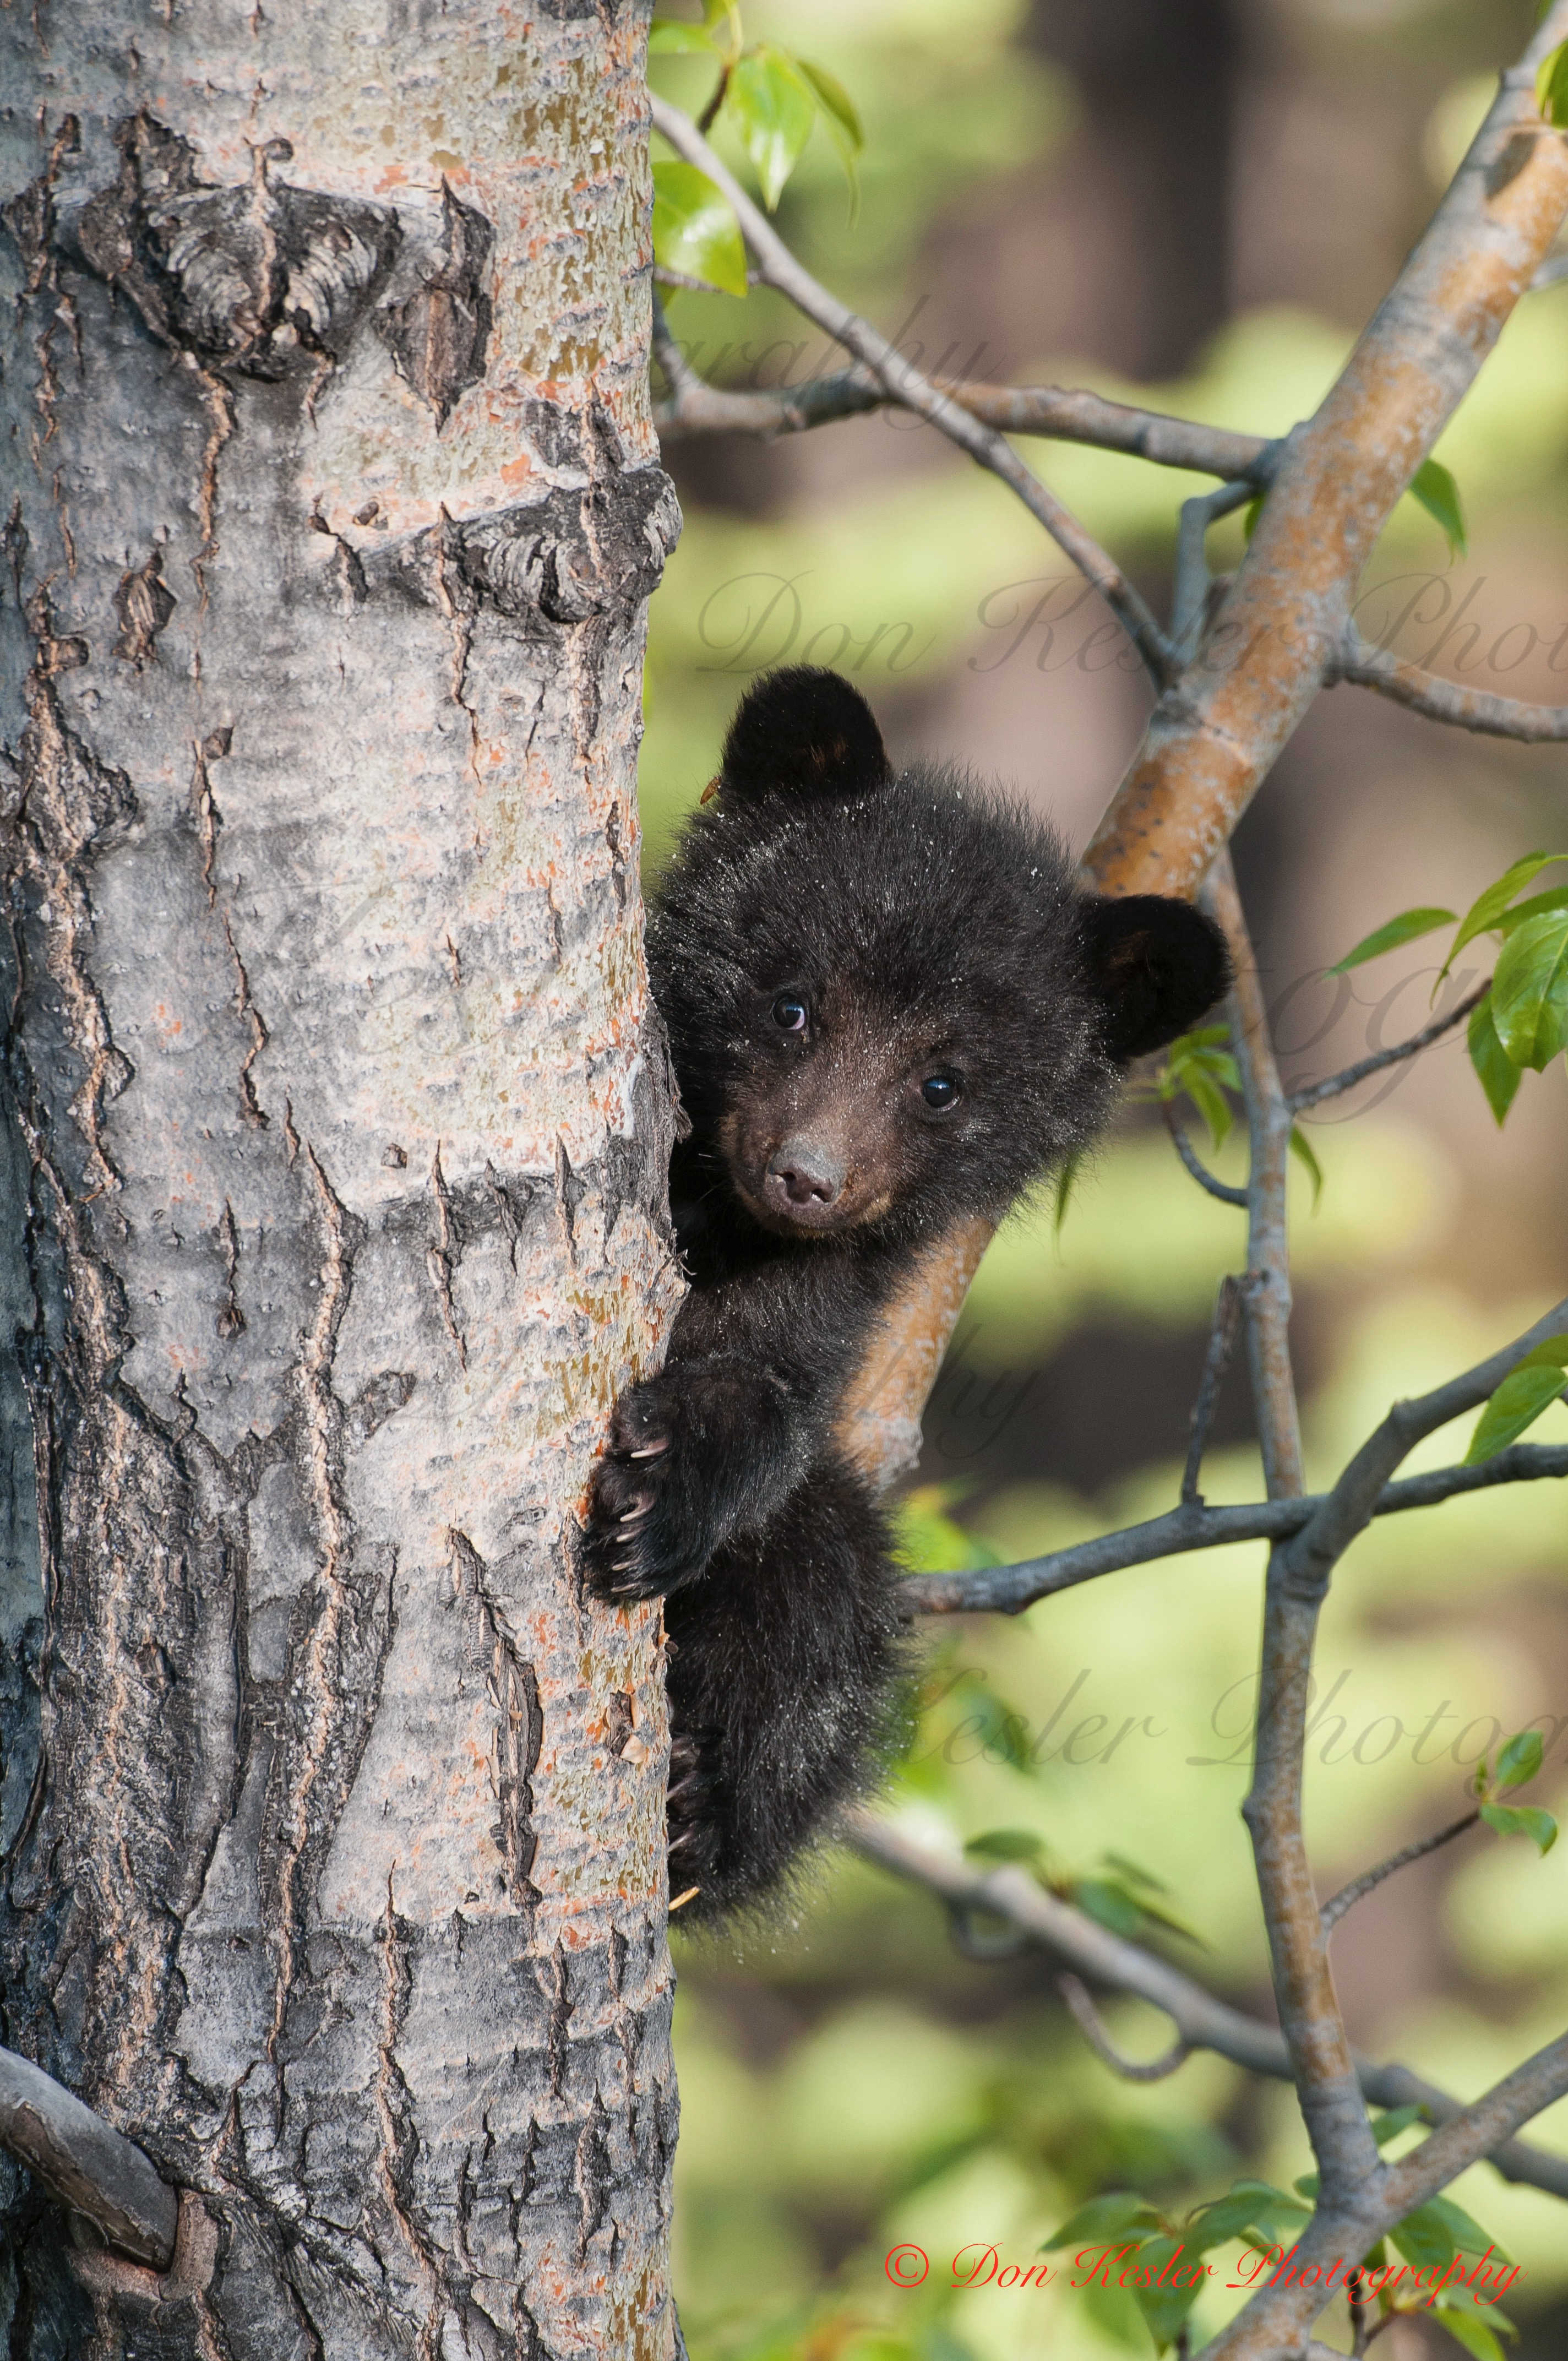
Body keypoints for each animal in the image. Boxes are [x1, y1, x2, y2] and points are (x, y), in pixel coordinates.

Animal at [581, 666, 1230, 1921]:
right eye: (791, 1004)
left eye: (943, 1082)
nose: (806, 1175)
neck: (721, 1221)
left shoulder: (830, 1285)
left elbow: (768, 1392)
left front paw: (662, 1496)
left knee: (822, 1592)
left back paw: (701, 1818)